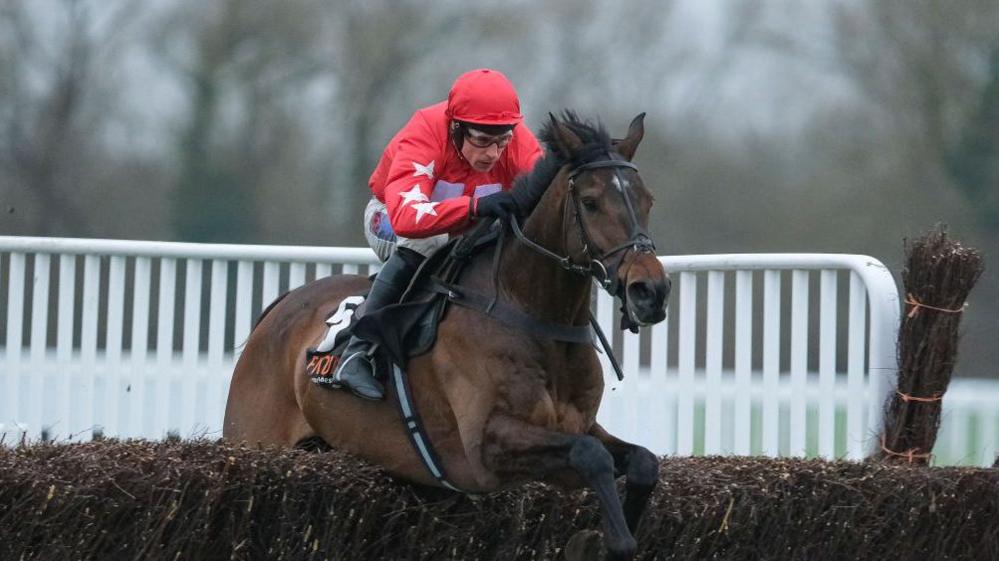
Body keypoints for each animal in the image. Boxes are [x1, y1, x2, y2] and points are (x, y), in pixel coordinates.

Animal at [225, 111, 672, 556]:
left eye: (648, 200)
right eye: (591, 202)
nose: (650, 290)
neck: (530, 312)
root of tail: (281, 306)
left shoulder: (580, 426)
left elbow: (643, 462)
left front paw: (601, 538)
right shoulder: (487, 446)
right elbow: (592, 456)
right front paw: (607, 541)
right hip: (255, 436)